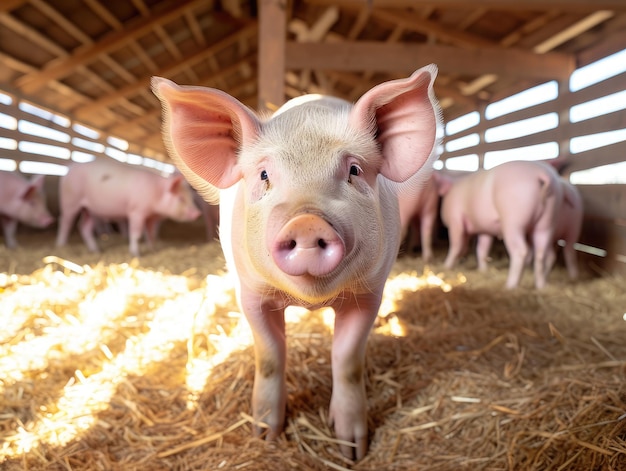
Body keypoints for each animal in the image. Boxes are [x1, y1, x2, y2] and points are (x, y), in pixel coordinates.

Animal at [55, 159, 199, 256]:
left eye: (191, 199)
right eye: (181, 198)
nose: (197, 213)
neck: (156, 194)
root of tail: (71, 167)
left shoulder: (150, 217)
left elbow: (151, 234)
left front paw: (153, 249)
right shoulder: (136, 211)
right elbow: (136, 234)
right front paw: (136, 254)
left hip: (89, 210)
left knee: (83, 227)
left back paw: (96, 251)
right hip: (70, 201)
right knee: (65, 222)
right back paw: (61, 245)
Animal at [154, 63, 442, 460]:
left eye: (353, 170)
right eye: (264, 175)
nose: (306, 222)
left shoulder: (370, 292)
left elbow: (348, 360)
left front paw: (351, 449)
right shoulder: (250, 293)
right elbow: (270, 356)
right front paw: (265, 436)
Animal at [432, 160, 564, 290]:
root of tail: (542, 173)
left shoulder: (455, 221)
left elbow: (455, 246)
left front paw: (446, 266)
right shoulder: (485, 229)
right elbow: (482, 249)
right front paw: (483, 271)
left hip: (513, 220)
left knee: (521, 251)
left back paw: (509, 286)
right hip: (548, 221)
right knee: (541, 254)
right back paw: (541, 287)